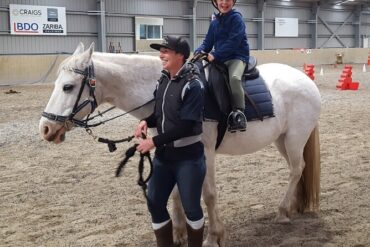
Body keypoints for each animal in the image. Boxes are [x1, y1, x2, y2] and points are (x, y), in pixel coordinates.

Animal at [38, 43, 320, 247]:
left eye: (68, 86)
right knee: (298, 169)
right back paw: (293, 206)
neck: (167, 90)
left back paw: (282, 211)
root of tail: (306, 80)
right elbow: (174, 192)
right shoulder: (169, 148)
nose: (46, 129)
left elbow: (209, 194)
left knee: (297, 169)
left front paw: (213, 237)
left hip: (294, 138)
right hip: (282, 140)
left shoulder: (205, 152)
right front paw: (179, 233)